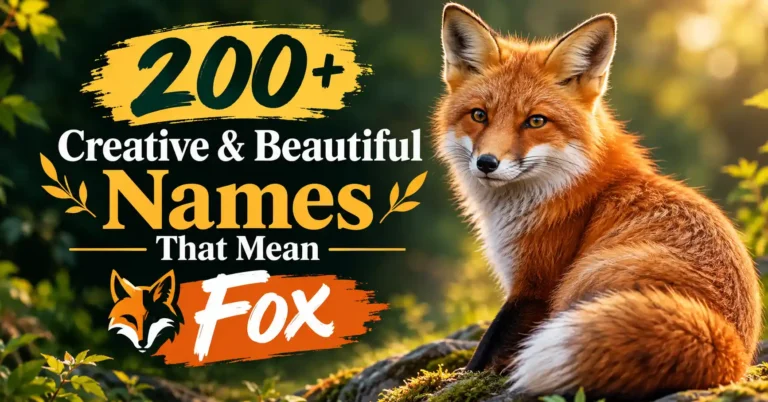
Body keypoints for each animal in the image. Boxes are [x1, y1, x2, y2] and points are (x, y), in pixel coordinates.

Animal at [433, 3, 762, 399]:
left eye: (535, 121)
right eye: (479, 115)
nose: (486, 163)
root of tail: (731, 349)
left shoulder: (537, 283)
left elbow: (489, 345)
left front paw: (458, 381)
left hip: (587, 276)